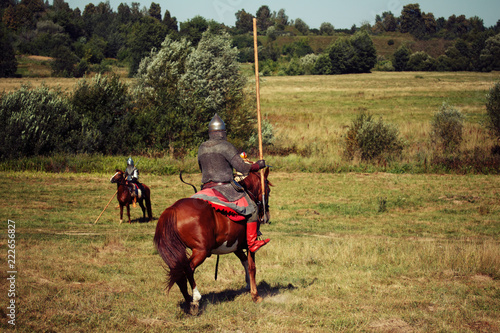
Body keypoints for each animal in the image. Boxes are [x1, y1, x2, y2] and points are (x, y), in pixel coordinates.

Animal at [154, 169, 272, 312]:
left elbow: (244, 261)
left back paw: (189, 302)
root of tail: (173, 209)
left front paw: (248, 284)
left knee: (178, 271)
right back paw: (195, 298)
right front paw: (255, 295)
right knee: (188, 268)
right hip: (201, 251)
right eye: (268, 189)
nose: (266, 216)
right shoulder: (249, 244)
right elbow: (252, 267)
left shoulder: (235, 245)